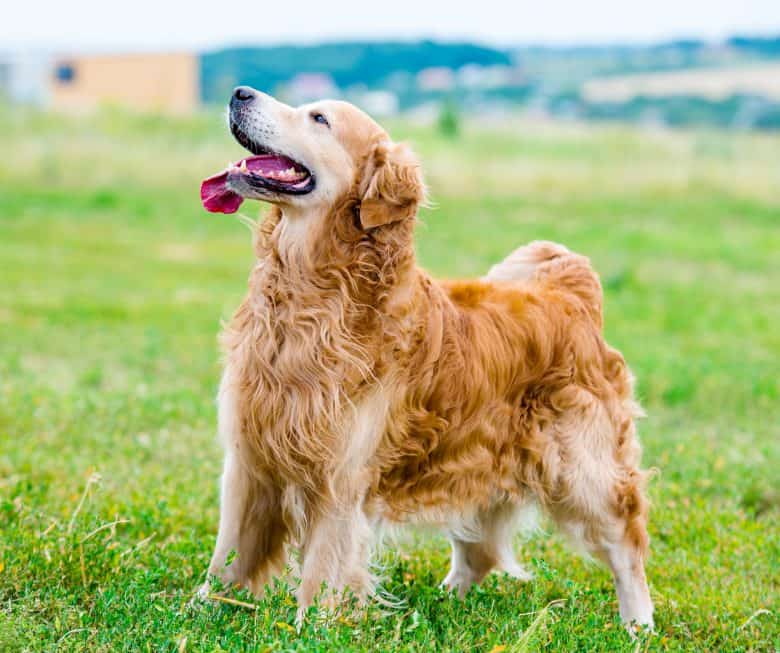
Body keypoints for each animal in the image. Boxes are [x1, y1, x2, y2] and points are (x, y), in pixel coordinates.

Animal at [198, 84, 656, 628]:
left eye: (319, 119)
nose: (239, 92)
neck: (313, 294)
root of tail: (570, 290)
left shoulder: (342, 476)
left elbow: (322, 568)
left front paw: (313, 628)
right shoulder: (249, 459)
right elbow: (227, 555)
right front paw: (196, 610)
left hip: (583, 468)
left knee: (626, 540)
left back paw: (639, 623)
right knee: (480, 550)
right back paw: (446, 601)